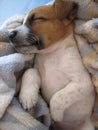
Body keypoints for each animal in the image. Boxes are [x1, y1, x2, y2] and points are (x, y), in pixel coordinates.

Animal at [9, 0, 95, 129]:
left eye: (37, 18)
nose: (10, 35)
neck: (50, 55)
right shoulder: (36, 69)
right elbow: (30, 71)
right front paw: (27, 95)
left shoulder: (84, 82)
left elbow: (58, 96)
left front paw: (55, 114)